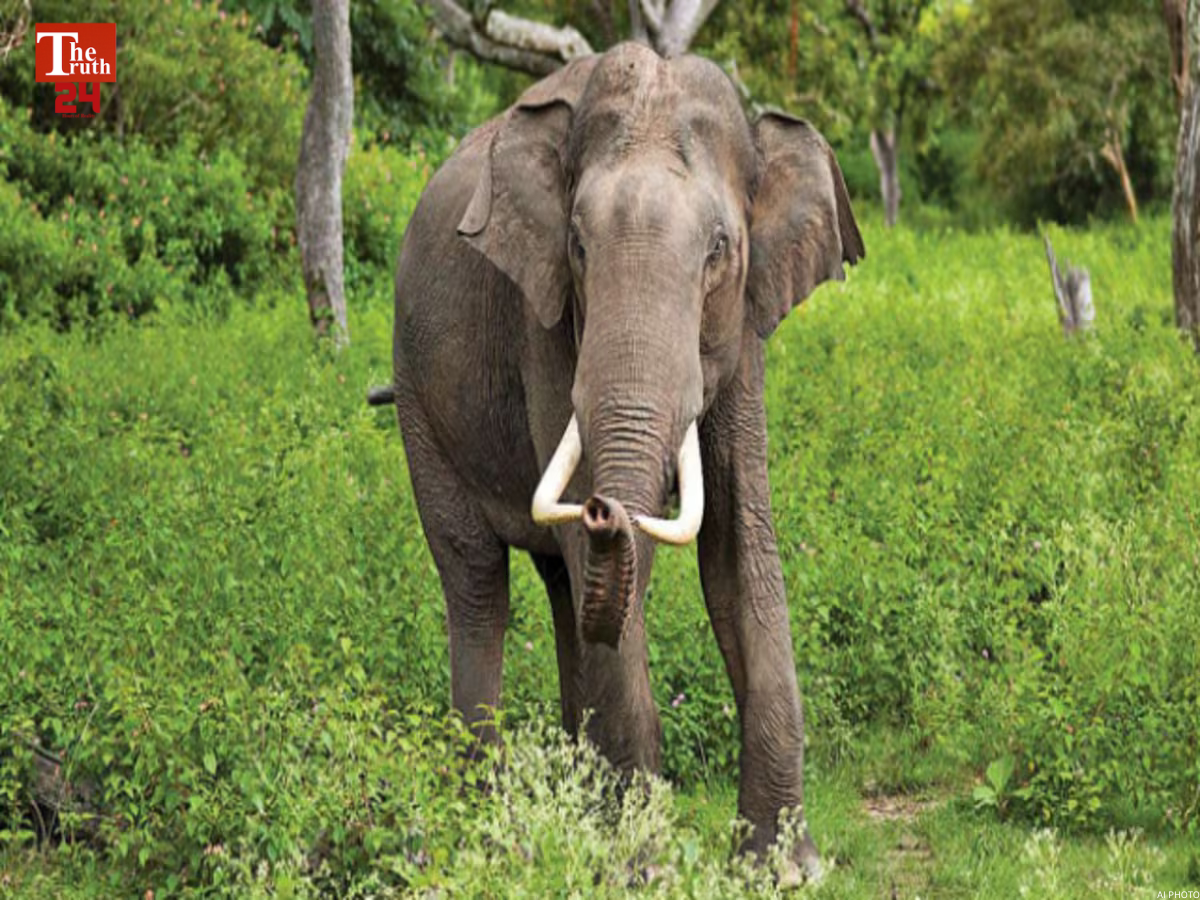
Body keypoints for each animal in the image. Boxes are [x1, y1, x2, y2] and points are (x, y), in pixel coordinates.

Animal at [380, 41, 863, 878]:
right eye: (577, 245)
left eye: (719, 250)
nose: (606, 505)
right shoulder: (542, 318)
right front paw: (642, 867)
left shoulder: (743, 333)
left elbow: (738, 548)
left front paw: (782, 869)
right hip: (417, 398)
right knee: (478, 585)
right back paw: (490, 831)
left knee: (562, 593)